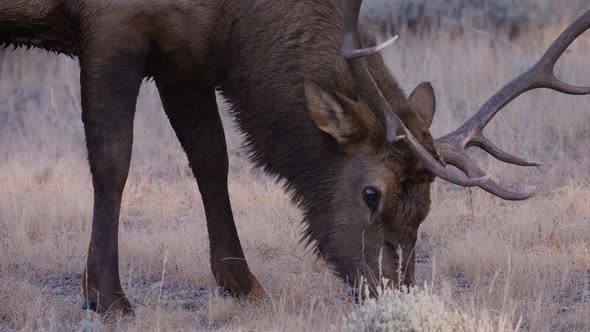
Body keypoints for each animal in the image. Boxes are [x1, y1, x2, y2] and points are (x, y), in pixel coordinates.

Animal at [1, 0, 590, 316]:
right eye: (370, 192)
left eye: (426, 207)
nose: (391, 292)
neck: (229, 21)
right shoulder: (113, 26)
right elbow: (112, 159)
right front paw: (106, 295)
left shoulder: (183, 54)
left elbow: (212, 159)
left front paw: (241, 282)